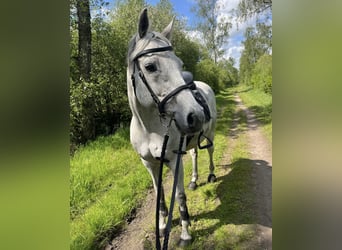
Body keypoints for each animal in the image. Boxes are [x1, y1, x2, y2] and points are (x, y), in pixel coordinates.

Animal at [127, 8, 218, 248]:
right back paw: (194, 180)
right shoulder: (149, 164)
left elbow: (179, 196)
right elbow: (159, 194)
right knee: (195, 154)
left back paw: (211, 175)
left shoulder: (174, 161)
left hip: (210, 133)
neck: (149, 129)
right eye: (150, 67)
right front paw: (161, 224)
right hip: (194, 139)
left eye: (179, 64)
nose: (195, 115)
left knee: (210, 152)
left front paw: (185, 234)